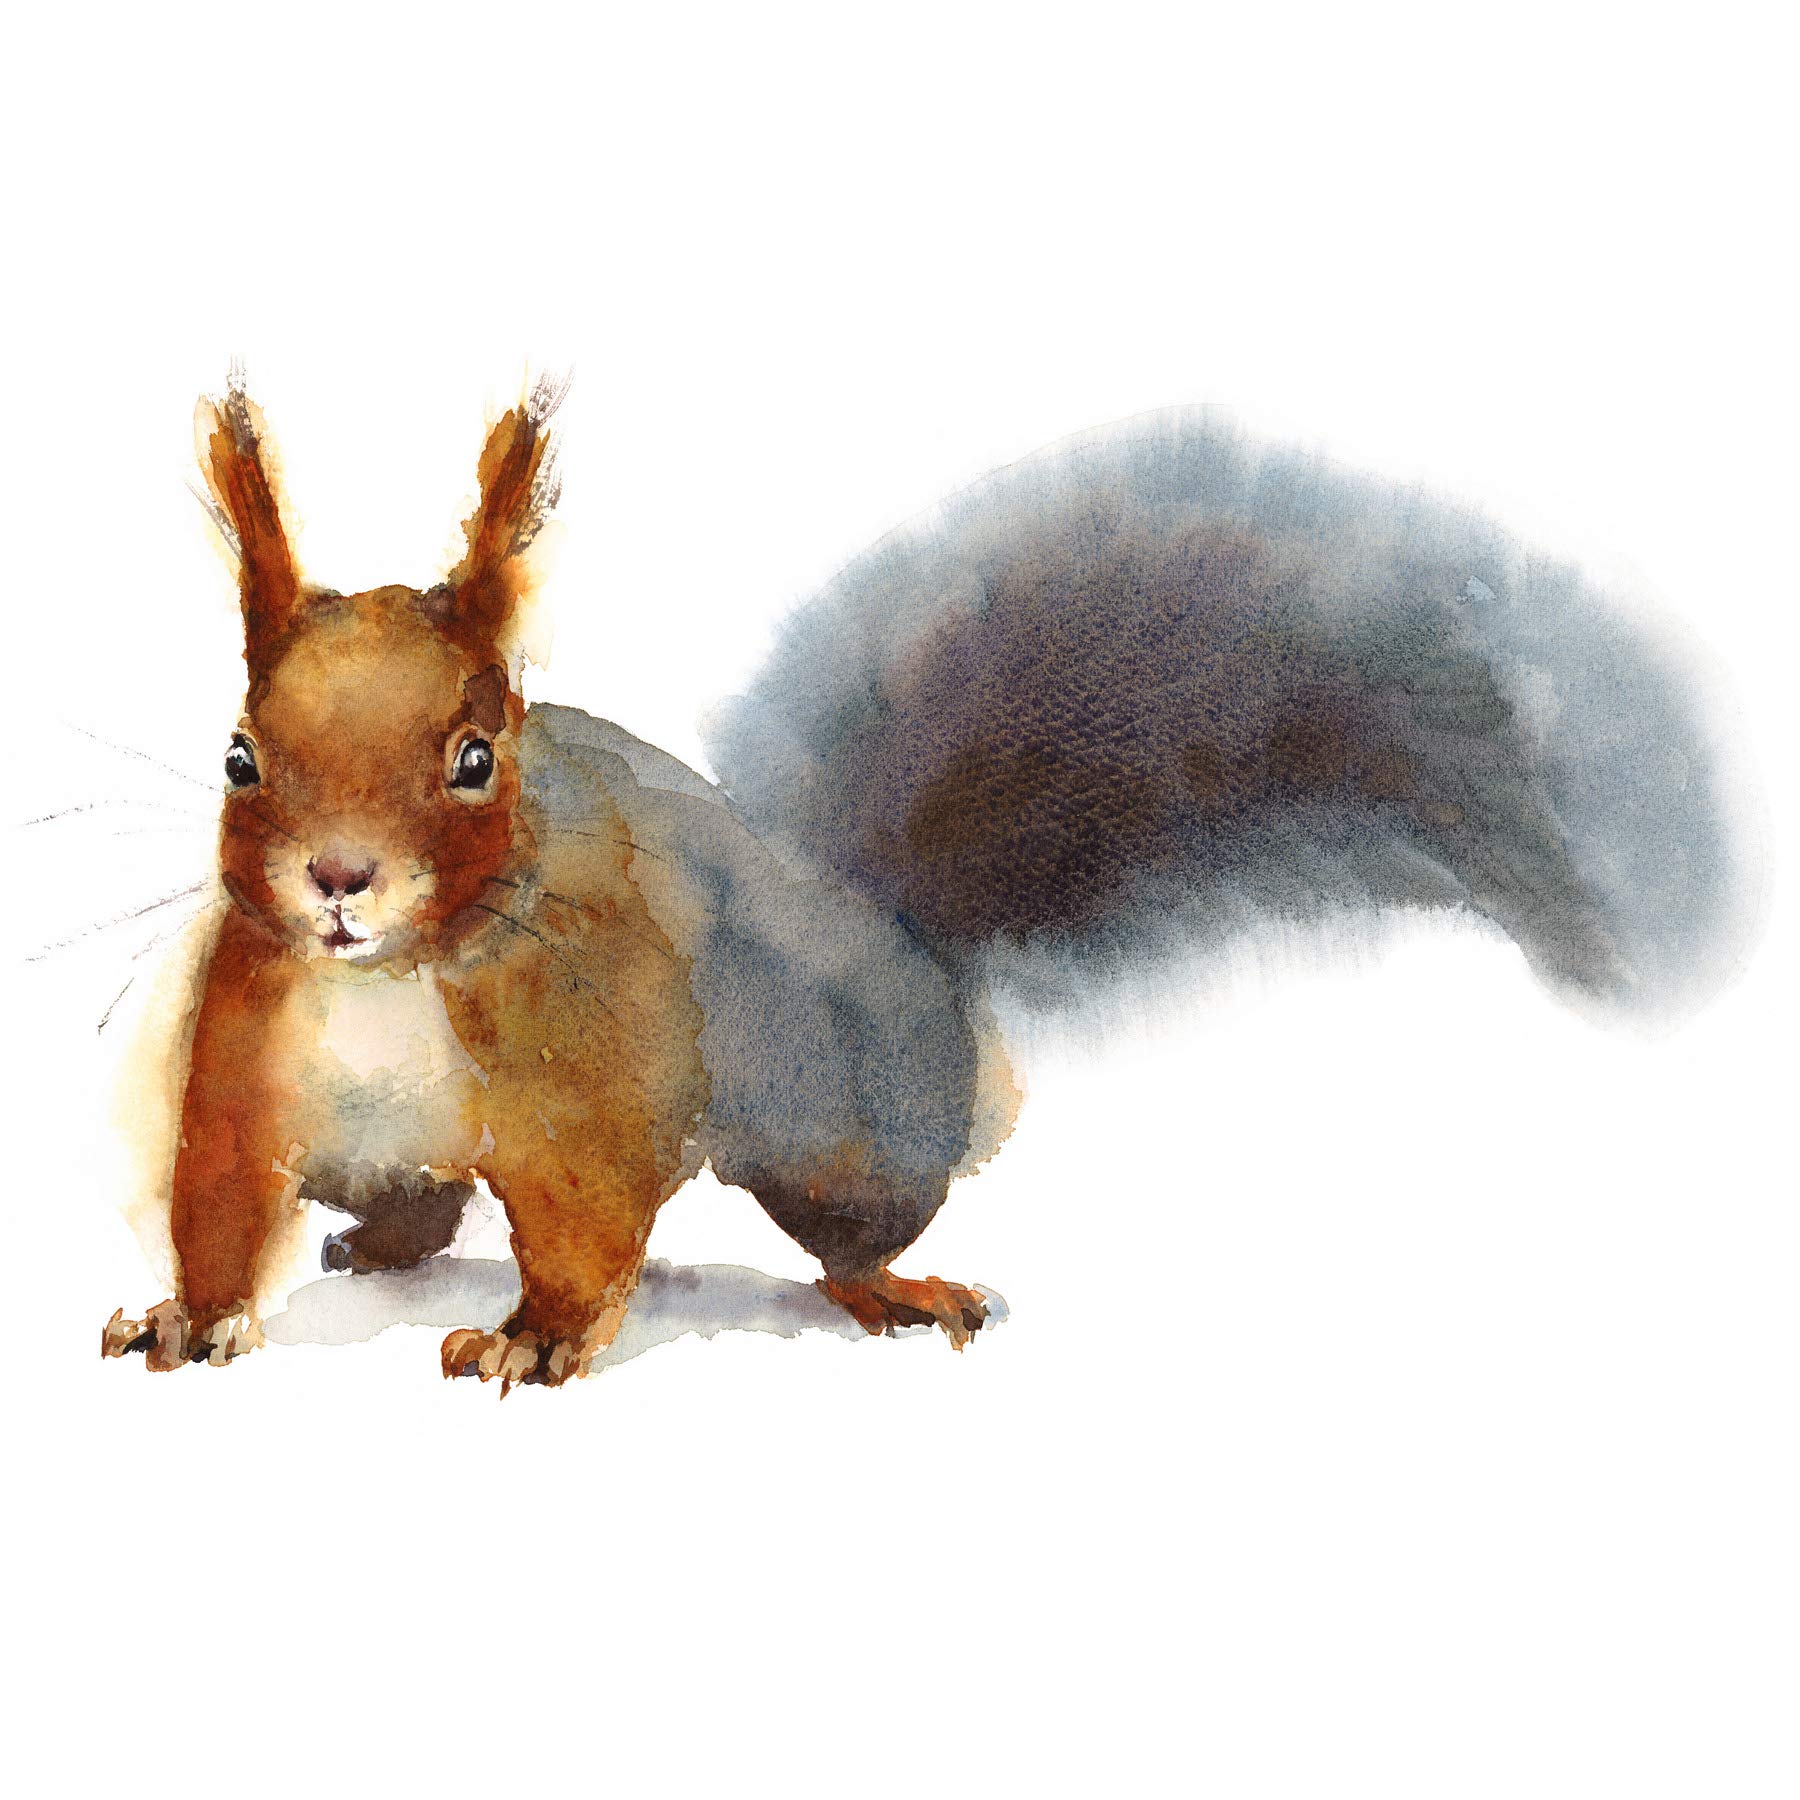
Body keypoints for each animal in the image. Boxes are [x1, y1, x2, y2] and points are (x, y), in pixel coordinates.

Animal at [102, 371, 1753, 1387]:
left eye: (471, 755)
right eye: (241, 753)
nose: (339, 881)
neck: (393, 977)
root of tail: (888, 936)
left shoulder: (593, 1062)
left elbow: (585, 1216)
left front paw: (535, 1341)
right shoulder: (252, 1045)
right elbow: (217, 1191)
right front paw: (188, 1316)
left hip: (852, 1127)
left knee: (848, 1231)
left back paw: (890, 1292)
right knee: (421, 1205)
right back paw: (381, 1242)